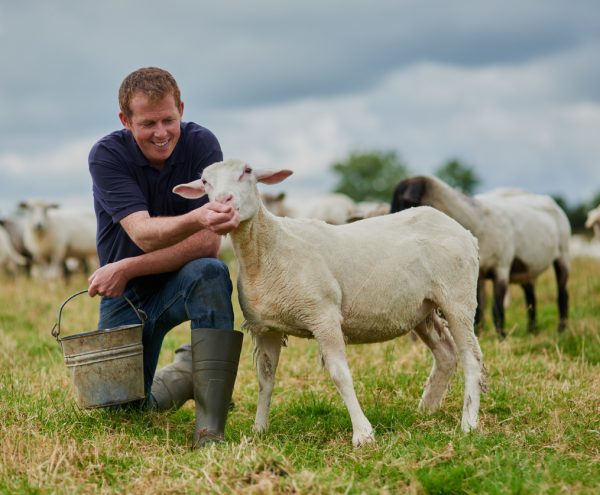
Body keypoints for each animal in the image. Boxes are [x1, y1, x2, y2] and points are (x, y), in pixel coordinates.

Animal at [172, 160, 482, 450]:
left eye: (247, 171)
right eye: (205, 181)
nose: (223, 201)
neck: (267, 249)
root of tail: (463, 231)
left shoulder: (324, 316)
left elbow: (340, 374)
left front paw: (363, 434)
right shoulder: (265, 328)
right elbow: (265, 378)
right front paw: (259, 429)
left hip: (458, 296)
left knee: (471, 356)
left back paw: (468, 422)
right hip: (421, 307)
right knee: (445, 352)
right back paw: (427, 409)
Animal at [390, 175, 572, 338]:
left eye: (404, 203)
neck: (476, 221)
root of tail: (550, 201)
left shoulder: (501, 268)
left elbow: (496, 308)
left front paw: (501, 337)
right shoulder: (476, 273)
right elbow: (477, 310)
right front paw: (478, 334)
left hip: (563, 253)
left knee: (562, 294)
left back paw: (561, 329)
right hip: (526, 269)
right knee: (531, 297)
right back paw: (533, 331)